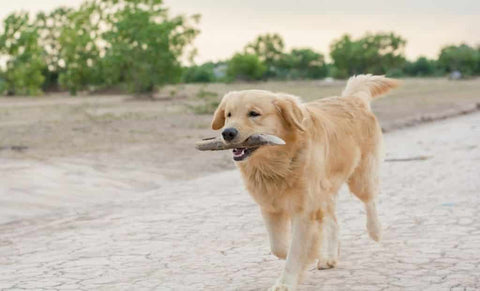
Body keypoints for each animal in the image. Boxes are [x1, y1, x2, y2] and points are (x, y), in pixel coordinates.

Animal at [210, 74, 398, 290]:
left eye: (254, 113)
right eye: (229, 114)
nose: (227, 132)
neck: (279, 162)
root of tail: (351, 99)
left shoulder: (305, 209)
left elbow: (296, 250)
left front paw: (286, 282)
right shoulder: (270, 207)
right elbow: (280, 247)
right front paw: (306, 256)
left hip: (360, 177)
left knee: (369, 200)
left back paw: (375, 231)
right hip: (324, 190)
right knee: (333, 221)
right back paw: (329, 256)